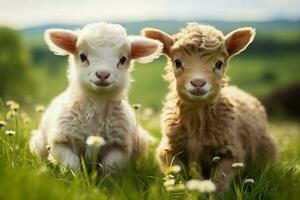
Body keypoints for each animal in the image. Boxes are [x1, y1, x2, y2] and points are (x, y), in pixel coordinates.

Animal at [29, 21, 163, 172]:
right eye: (83, 56)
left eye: (123, 59)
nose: (102, 74)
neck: (97, 101)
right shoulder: (60, 142)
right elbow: (71, 164)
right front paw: (76, 177)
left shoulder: (119, 146)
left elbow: (109, 167)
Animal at [142, 22, 276, 191]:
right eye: (177, 62)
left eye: (219, 63)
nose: (198, 83)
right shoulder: (168, 151)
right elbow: (179, 175)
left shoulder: (231, 153)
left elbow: (220, 180)